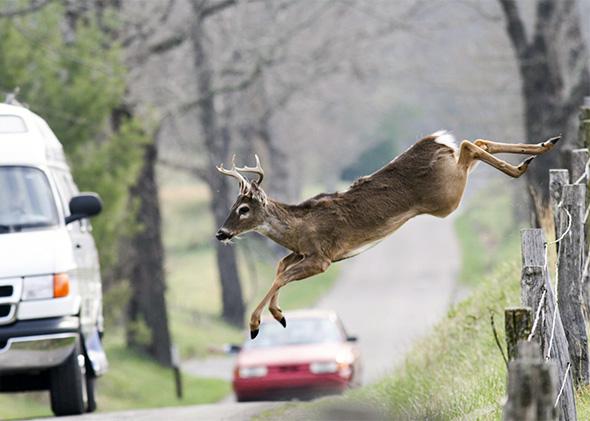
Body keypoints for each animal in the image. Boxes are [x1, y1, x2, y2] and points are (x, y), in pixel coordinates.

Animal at [215, 131, 560, 338]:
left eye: (243, 209)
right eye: (232, 206)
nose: (221, 233)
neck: (298, 228)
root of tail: (435, 141)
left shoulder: (322, 258)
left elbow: (281, 275)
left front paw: (257, 323)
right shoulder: (301, 254)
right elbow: (279, 268)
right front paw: (278, 314)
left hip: (447, 197)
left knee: (468, 144)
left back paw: (523, 164)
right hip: (452, 183)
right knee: (475, 142)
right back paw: (542, 148)